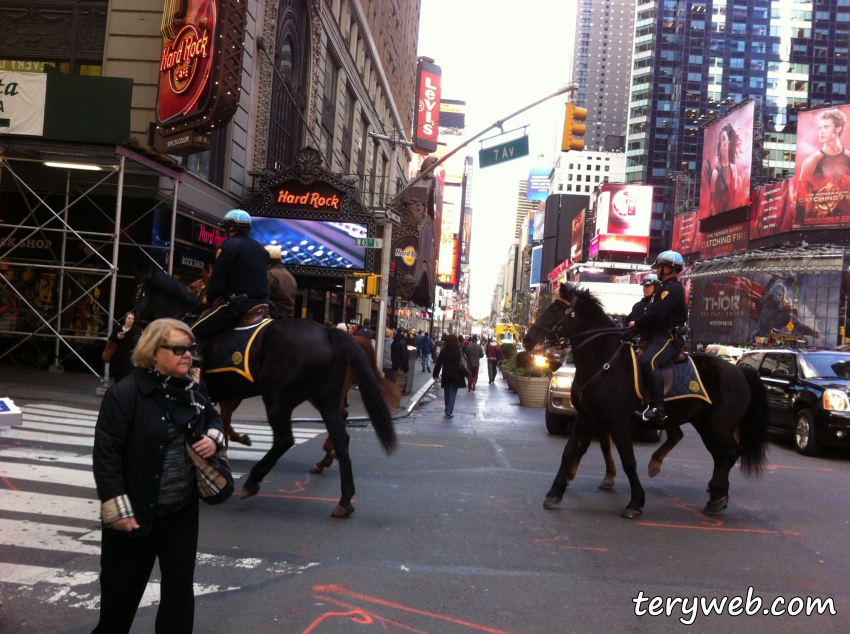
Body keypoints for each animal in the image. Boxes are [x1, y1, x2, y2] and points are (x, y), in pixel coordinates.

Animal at [133, 270, 398, 516]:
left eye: (138, 293)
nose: (132, 325)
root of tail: (329, 333)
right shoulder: (230, 394)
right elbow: (225, 422)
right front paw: (236, 442)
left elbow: (221, 423)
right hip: (325, 398)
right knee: (341, 436)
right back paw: (342, 496)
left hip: (278, 400)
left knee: (285, 440)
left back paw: (254, 479)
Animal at [524, 282, 768, 520]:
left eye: (555, 310)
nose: (528, 339)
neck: (604, 364)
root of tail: (740, 370)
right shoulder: (585, 418)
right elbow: (569, 452)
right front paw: (555, 492)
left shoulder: (618, 422)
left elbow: (628, 461)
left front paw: (635, 502)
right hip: (705, 424)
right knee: (720, 455)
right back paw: (716, 496)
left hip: (719, 425)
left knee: (731, 453)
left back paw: (716, 492)